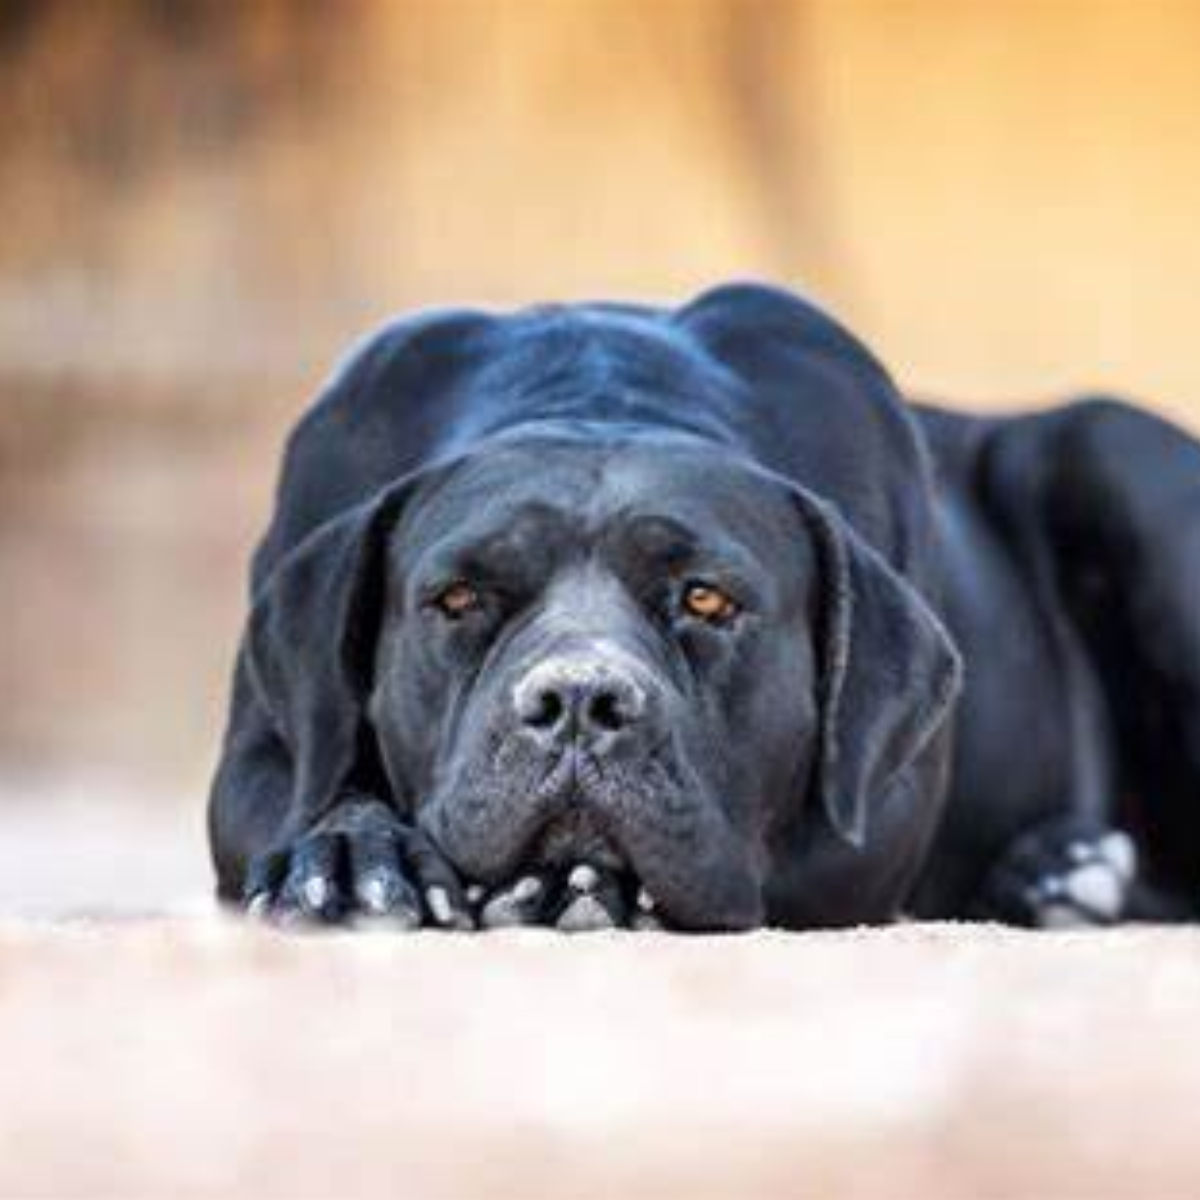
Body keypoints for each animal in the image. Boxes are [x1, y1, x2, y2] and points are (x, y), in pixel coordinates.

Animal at [208, 285, 1200, 931]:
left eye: (707, 598)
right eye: (458, 597)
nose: (579, 702)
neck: (604, 395)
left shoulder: (870, 822)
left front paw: (581, 887)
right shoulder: (257, 753)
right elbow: (303, 798)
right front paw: (350, 855)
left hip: (1109, 453)